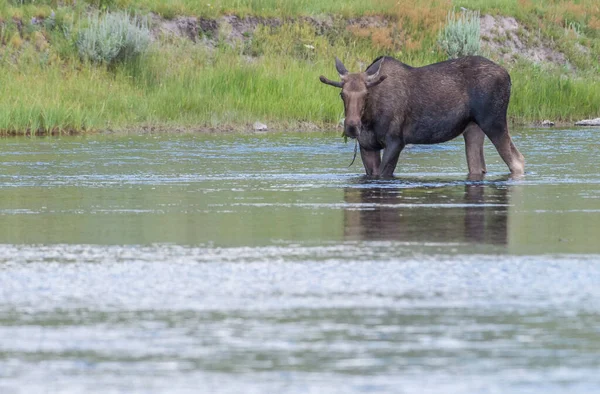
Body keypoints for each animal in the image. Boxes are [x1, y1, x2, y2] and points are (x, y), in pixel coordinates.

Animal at [318, 54, 524, 178]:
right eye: (342, 94)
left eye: (366, 94)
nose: (352, 126)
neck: (369, 118)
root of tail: (509, 76)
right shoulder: (367, 146)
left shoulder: (396, 142)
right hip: (473, 128)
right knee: (478, 167)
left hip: (494, 122)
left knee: (518, 160)